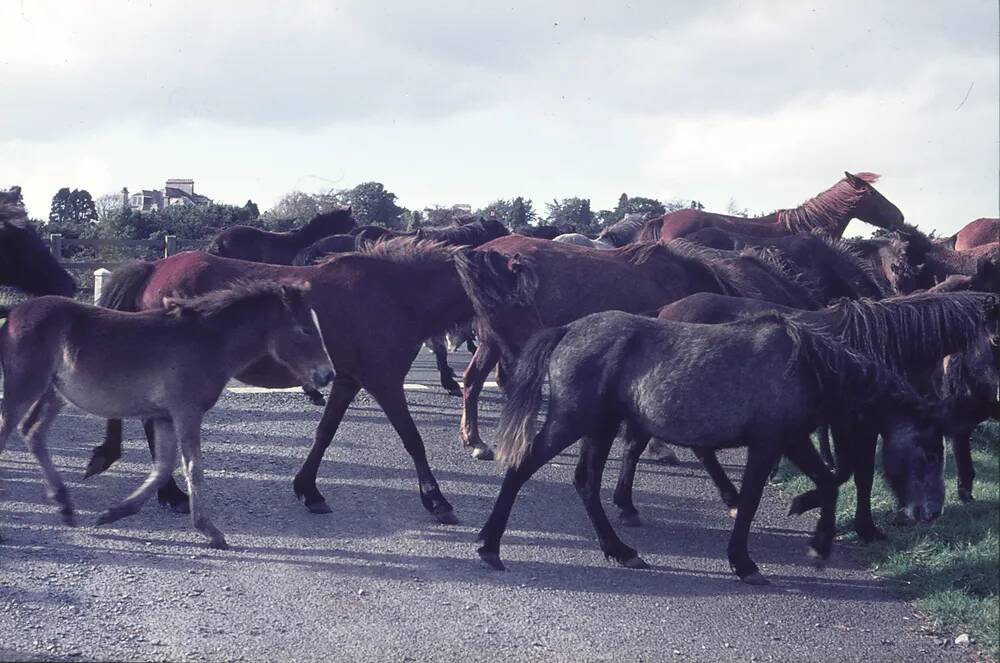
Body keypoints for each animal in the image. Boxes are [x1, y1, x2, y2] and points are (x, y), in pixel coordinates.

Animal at [0, 282, 336, 548]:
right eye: (306, 329)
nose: (328, 375)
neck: (208, 341)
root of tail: (13, 314)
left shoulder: (163, 416)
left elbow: (163, 468)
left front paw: (114, 513)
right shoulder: (186, 412)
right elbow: (193, 468)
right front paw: (211, 531)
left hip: (54, 394)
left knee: (33, 432)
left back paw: (65, 506)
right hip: (24, 387)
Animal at [85, 240, 472, 524]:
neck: (395, 293)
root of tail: (154, 267)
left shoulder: (348, 380)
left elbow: (325, 433)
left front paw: (308, 490)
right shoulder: (384, 380)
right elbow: (413, 439)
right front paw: (437, 500)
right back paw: (172, 494)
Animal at [478, 312, 944, 588]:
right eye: (927, 450)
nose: (932, 512)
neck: (805, 365)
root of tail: (569, 330)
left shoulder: (792, 440)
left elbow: (828, 481)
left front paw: (818, 542)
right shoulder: (768, 444)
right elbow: (752, 500)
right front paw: (744, 562)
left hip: (600, 427)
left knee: (587, 484)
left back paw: (621, 550)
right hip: (573, 422)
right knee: (522, 468)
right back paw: (489, 546)